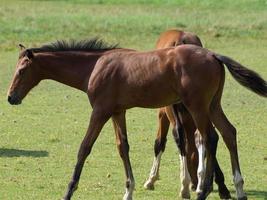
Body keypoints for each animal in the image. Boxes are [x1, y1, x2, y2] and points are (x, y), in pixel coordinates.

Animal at [7, 38, 266, 199]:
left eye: (21, 70)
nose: (11, 97)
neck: (94, 67)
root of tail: (213, 54)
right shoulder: (117, 112)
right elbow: (123, 147)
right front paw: (128, 190)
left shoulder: (100, 111)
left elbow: (84, 147)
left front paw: (69, 191)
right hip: (212, 105)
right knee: (228, 132)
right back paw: (238, 189)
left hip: (197, 106)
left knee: (209, 137)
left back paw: (203, 190)